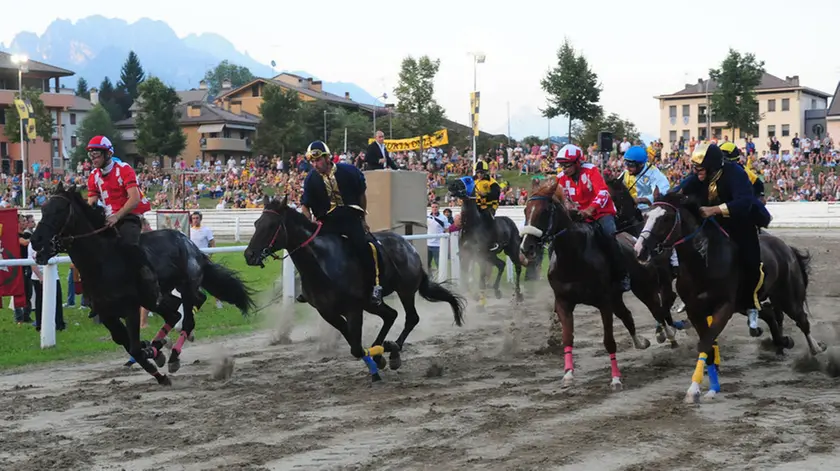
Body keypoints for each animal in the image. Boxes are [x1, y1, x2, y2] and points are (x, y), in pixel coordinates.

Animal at [31, 183, 254, 386]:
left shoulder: (130, 308)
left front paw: (159, 369)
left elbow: (136, 348)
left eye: (59, 210)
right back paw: (158, 345)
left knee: (189, 317)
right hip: (158, 296)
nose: (35, 240)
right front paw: (154, 358)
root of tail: (191, 244)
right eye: (43, 209)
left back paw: (172, 355)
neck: (102, 261)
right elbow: (127, 344)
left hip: (185, 286)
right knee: (176, 312)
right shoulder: (107, 314)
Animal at [241, 195, 466, 384]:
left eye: (272, 225)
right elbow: (354, 346)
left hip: (404, 290)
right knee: (391, 315)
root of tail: (409, 247)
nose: (249, 255)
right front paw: (375, 363)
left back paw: (392, 350)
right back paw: (385, 351)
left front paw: (378, 362)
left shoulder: (353, 309)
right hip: (371, 302)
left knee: (411, 318)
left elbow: (357, 347)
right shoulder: (328, 312)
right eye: (256, 223)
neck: (322, 262)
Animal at [446, 178, 524, 306]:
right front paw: (473, 294)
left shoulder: (480, 255)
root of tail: (511, 222)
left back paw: (518, 294)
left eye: (467, 180)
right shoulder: (465, 255)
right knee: (501, 265)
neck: (472, 225)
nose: (451, 185)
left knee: (517, 267)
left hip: (511, 251)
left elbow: (481, 281)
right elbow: (466, 276)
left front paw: (480, 300)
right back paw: (497, 290)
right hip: (491, 255)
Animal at [520, 181, 668, 390]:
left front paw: (615, 379)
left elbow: (609, 341)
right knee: (628, 316)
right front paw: (568, 374)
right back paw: (641, 342)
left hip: (643, 288)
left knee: (657, 310)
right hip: (617, 298)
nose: (527, 248)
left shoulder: (604, 302)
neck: (573, 257)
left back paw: (668, 334)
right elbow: (568, 337)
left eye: (545, 211)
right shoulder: (564, 302)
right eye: (526, 210)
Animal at [636, 194, 828, 404]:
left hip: (788, 296)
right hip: (748, 303)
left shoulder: (724, 308)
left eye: (665, 218)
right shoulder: (696, 311)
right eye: (645, 216)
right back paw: (782, 342)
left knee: (802, 320)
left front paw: (695, 390)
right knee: (771, 314)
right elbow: (708, 346)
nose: (640, 249)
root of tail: (786, 248)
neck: (703, 262)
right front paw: (709, 386)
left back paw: (816, 349)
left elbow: (706, 343)